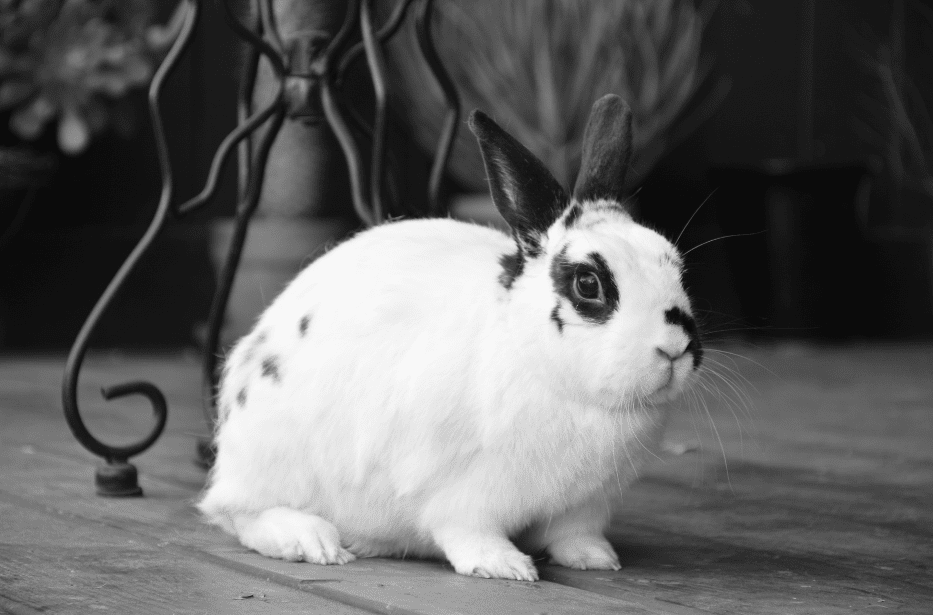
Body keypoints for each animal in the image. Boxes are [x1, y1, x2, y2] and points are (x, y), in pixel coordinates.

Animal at [197, 94, 703, 582]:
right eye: (587, 283)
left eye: (677, 268)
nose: (675, 348)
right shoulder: (464, 495)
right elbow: (468, 531)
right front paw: (504, 566)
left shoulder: (587, 505)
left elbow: (574, 535)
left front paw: (596, 559)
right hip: (272, 459)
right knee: (236, 513)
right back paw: (312, 541)